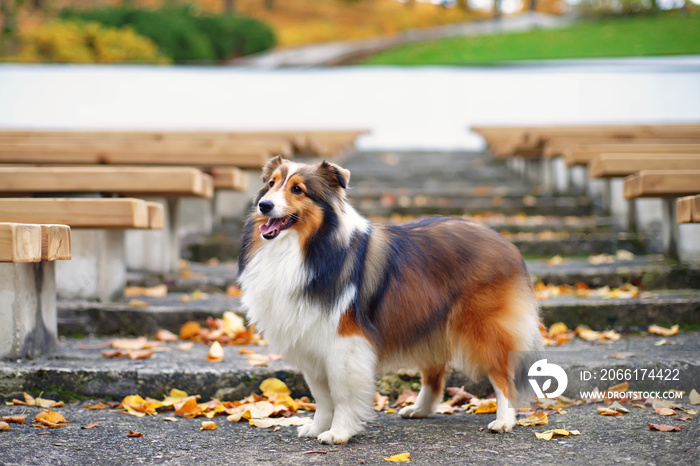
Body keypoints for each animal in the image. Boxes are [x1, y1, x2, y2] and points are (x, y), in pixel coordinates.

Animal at [239, 157, 540, 444]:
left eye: (297, 189)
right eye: (271, 184)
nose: (264, 205)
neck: (309, 248)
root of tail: (504, 242)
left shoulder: (344, 342)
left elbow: (341, 393)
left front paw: (339, 432)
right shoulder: (310, 340)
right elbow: (322, 396)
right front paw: (316, 428)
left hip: (482, 328)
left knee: (502, 375)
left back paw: (503, 420)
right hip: (429, 321)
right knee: (435, 371)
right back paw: (419, 409)